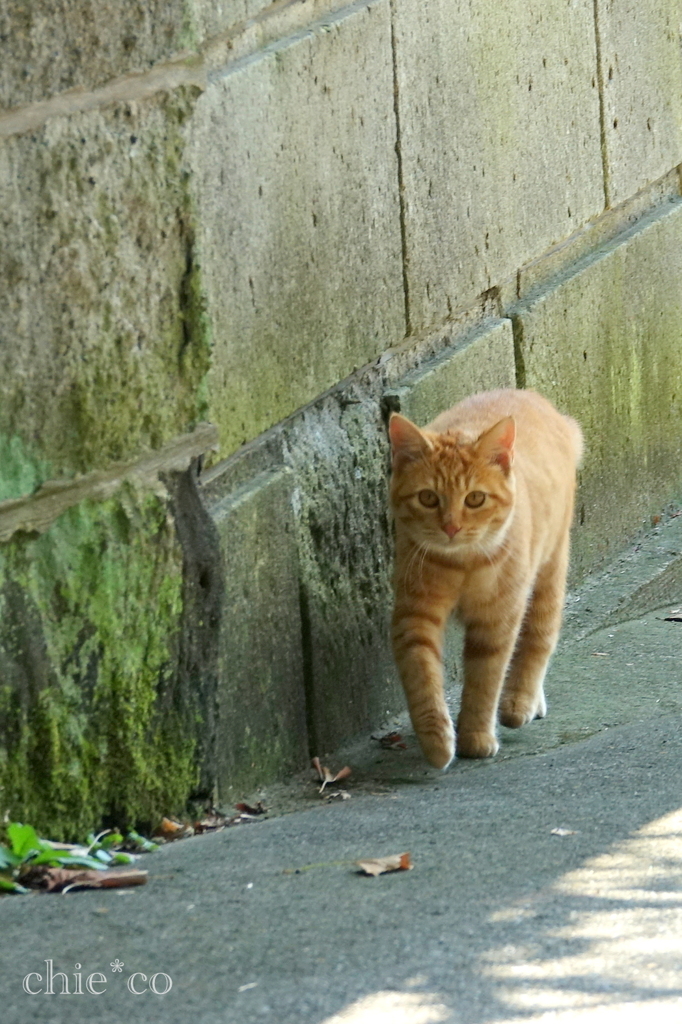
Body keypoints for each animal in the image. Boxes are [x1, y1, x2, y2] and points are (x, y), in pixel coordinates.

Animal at [387, 387, 577, 765]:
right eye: (428, 498)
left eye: (474, 499)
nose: (451, 527)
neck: (463, 564)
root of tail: (532, 396)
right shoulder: (415, 616)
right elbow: (421, 674)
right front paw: (437, 739)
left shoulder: (497, 618)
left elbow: (485, 681)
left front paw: (475, 736)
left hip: (548, 571)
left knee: (538, 637)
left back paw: (520, 700)